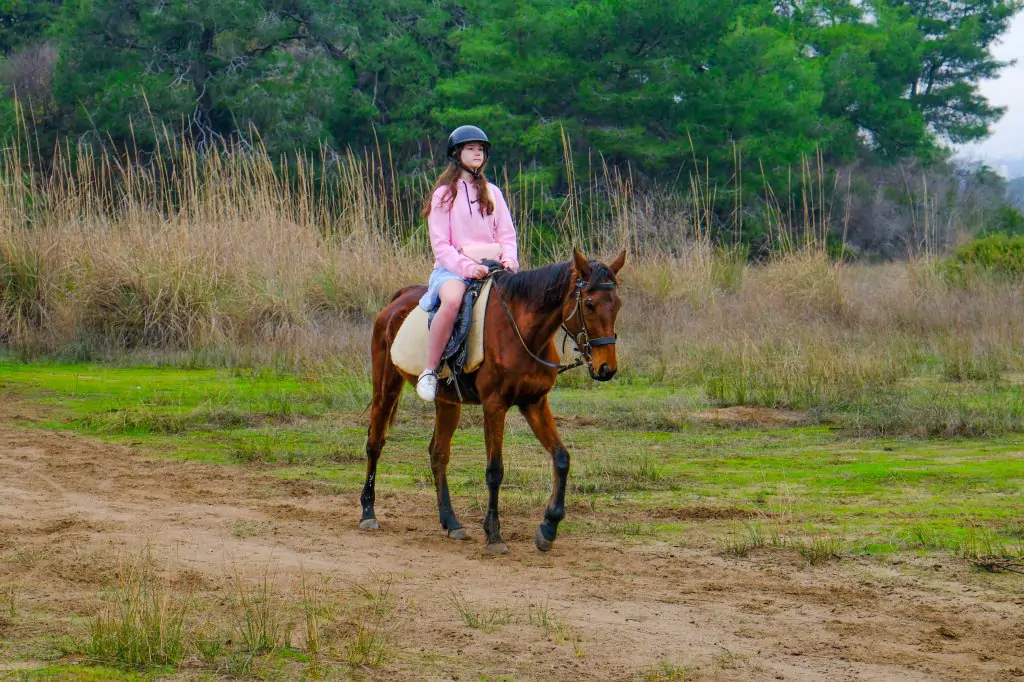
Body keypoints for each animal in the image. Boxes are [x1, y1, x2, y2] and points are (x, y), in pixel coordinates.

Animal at [364, 248, 626, 552]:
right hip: (386, 388)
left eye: (617, 304)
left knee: (438, 454)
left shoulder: (534, 403)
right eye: (590, 304)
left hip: (448, 402)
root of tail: (396, 302)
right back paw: (368, 513)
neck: (522, 332)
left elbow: (561, 458)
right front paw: (494, 534)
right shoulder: (494, 406)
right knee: (375, 443)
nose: (606, 368)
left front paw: (548, 527)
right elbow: (495, 470)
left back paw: (451, 523)